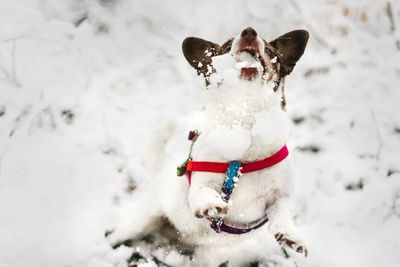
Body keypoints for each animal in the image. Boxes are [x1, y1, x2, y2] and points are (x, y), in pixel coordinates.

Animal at [108, 27, 310, 266]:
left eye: (270, 50)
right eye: (226, 47)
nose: (249, 31)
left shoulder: (280, 197)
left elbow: (283, 214)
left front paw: (290, 234)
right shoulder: (201, 182)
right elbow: (203, 192)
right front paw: (210, 204)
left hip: (205, 256)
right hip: (140, 220)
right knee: (113, 236)